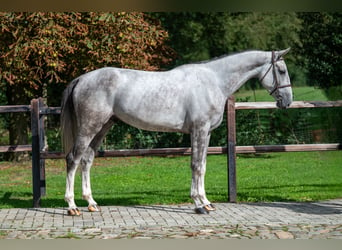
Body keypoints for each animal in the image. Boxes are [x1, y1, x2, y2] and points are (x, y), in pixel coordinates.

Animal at [60, 48, 292, 215]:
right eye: (281, 71)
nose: (287, 102)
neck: (214, 81)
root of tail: (82, 79)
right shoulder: (199, 130)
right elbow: (196, 166)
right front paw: (199, 205)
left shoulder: (206, 133)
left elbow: (203, 166)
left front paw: (207, 202)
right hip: (89, 127)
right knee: (73, 159)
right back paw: (72, 207)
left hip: (103, 127)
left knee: (87, 160)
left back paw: (91, 203)